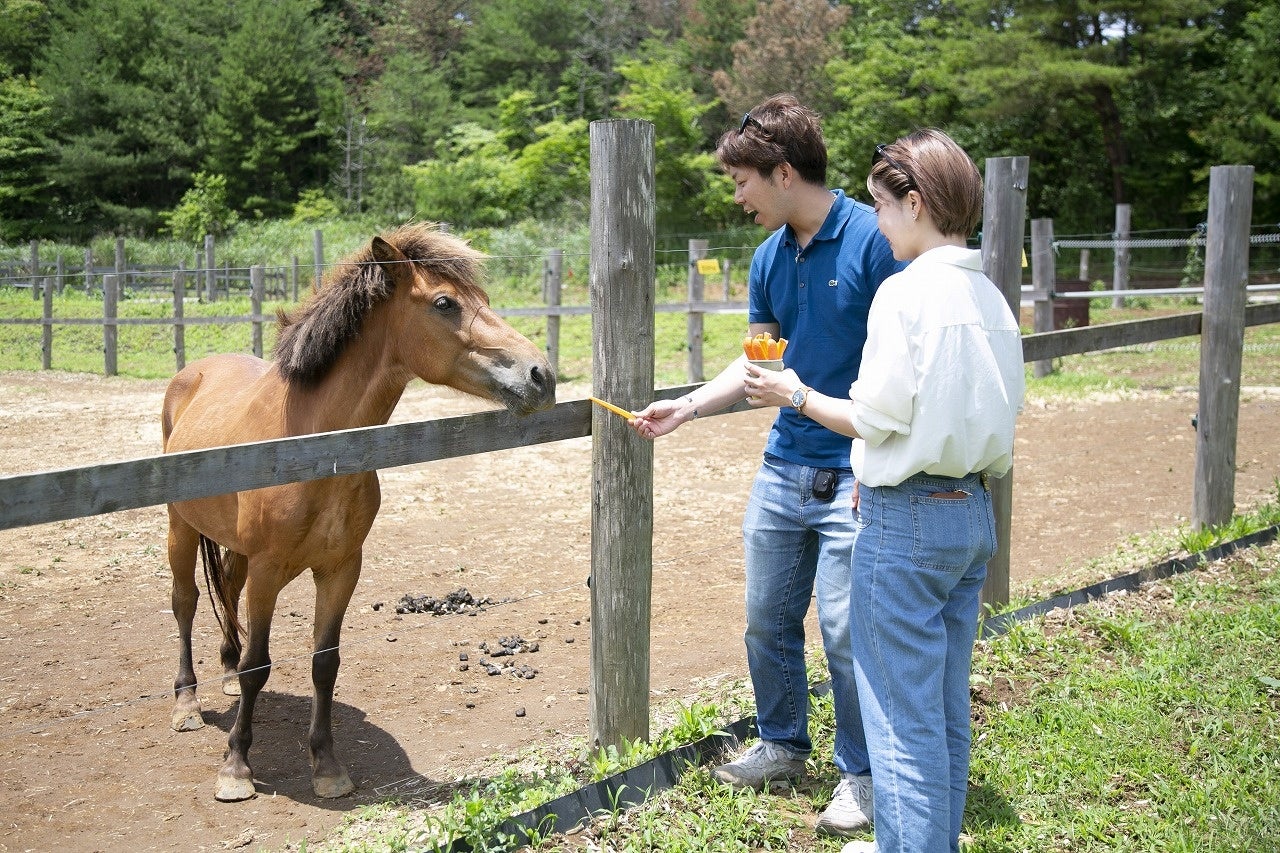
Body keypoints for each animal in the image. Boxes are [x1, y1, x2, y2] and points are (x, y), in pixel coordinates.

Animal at [160, 220, 555, 799]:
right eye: (444, 303)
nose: (541, 375)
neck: (312, 443)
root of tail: (192, 374)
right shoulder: (268, 570)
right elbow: (261, 665)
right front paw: (236, 767)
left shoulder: (342, 567)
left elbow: (326, 662)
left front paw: (326, 766)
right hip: (180, 528)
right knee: (186, 602)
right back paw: (187, 702)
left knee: (224, 595)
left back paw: (224, 674)